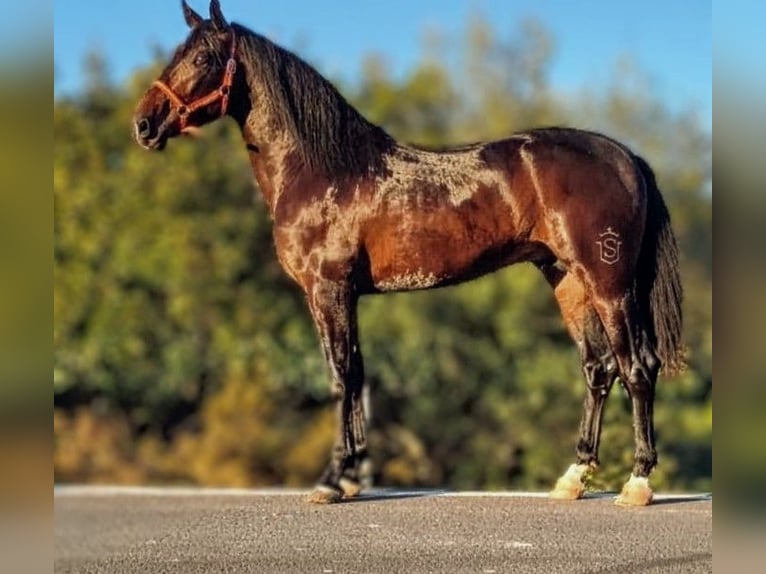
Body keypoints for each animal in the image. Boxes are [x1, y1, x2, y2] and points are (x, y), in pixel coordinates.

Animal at [133, 0, 684, 506]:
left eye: (203, 56)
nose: (143, 124)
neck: (322, 170)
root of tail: (625, 157)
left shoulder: (328, 290)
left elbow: (339, 377)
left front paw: (332, 481)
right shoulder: (344, 295)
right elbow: (356, 373)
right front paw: (352, 478)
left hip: (609, 283)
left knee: (637, 367)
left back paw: (637, 483)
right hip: (567, 280)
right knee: (598, 368)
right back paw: (573, 478)